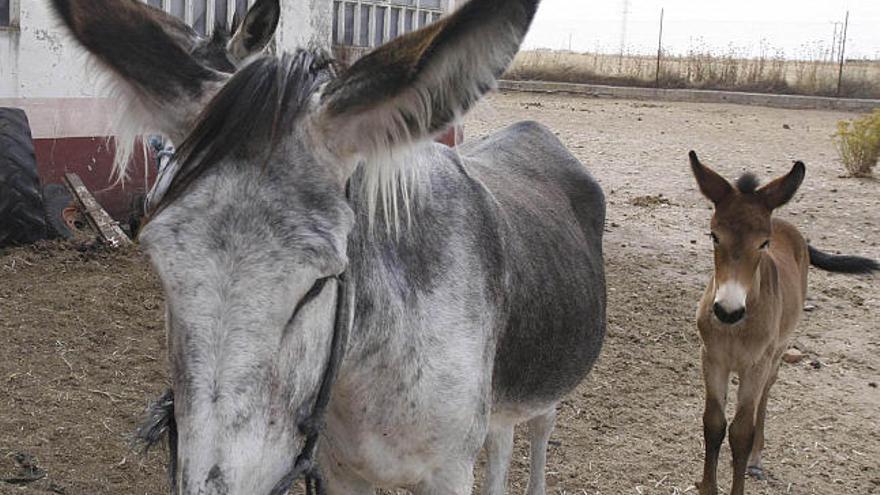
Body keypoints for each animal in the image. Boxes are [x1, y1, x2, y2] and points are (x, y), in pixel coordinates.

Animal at [692, 152, 876, 495]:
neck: (737, 327)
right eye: (714, 236)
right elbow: (713, 423)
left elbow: (741, 431)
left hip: (776, 354)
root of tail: (783, 222)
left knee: (765, 395)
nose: (727, 311)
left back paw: (755, 460)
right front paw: (708, 487)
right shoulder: (712, 359)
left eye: (763, 244)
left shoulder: (756, 364)